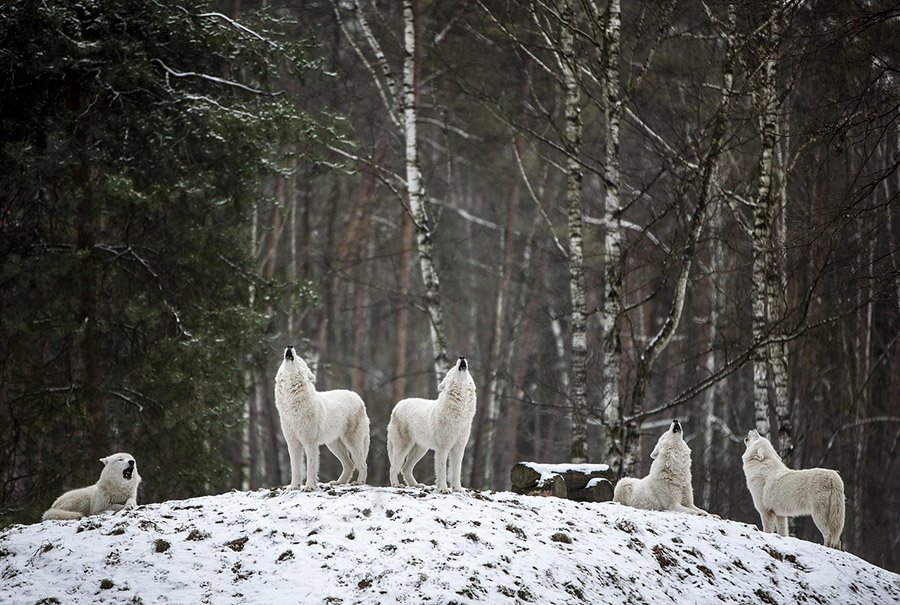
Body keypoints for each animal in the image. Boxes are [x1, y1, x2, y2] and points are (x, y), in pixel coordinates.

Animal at [274, 345, 370, 491]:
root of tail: (358, 398)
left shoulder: (310, 443)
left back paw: (359, 482)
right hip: (333, 445)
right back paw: (338, 482)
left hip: (352, 443)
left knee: (362, 464)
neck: (291, 405)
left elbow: (311, 467)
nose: (290, 346)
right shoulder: (293, 443)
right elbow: (295, 468)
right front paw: (294, 486)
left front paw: (309, 486)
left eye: (300, 360)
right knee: (350, 464)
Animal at [387, 357, 477, 493]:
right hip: (403, 448)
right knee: (393, 468)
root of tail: (397, 406)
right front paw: (443, 489)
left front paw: (458, 489)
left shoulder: (459, 448)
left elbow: (456, 472)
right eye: (452, 370)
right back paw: (396, 485)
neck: (460, 411)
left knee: (405, 468)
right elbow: (442, 471)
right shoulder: (442, 448)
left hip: (420, 450)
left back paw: (416, 485)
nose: (462, 357)